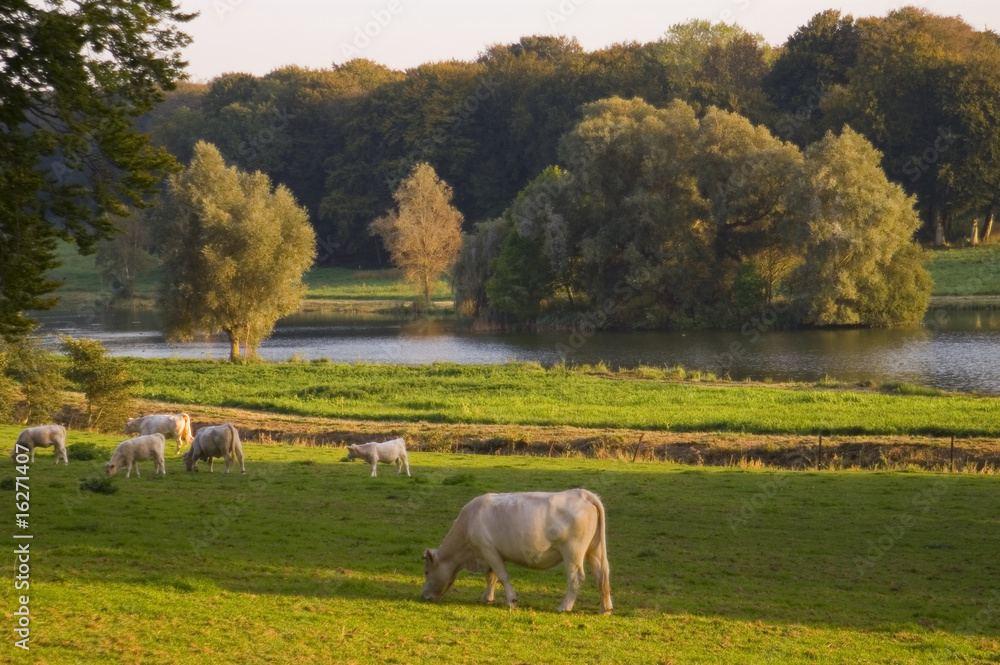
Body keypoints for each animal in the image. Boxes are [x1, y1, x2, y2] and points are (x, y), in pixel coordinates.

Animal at [422, 489, 612, 614]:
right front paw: (487, 598)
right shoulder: (486, 554)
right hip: (594, 551)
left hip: (572, 551)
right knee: (601, 574)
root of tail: (583, 493)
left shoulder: (488, 549)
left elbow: (501, 576)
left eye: (426, 572)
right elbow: (491, 577)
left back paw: (564, 607)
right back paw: (605, 608)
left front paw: (511, 601)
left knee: (576, 578)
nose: (424, 596)